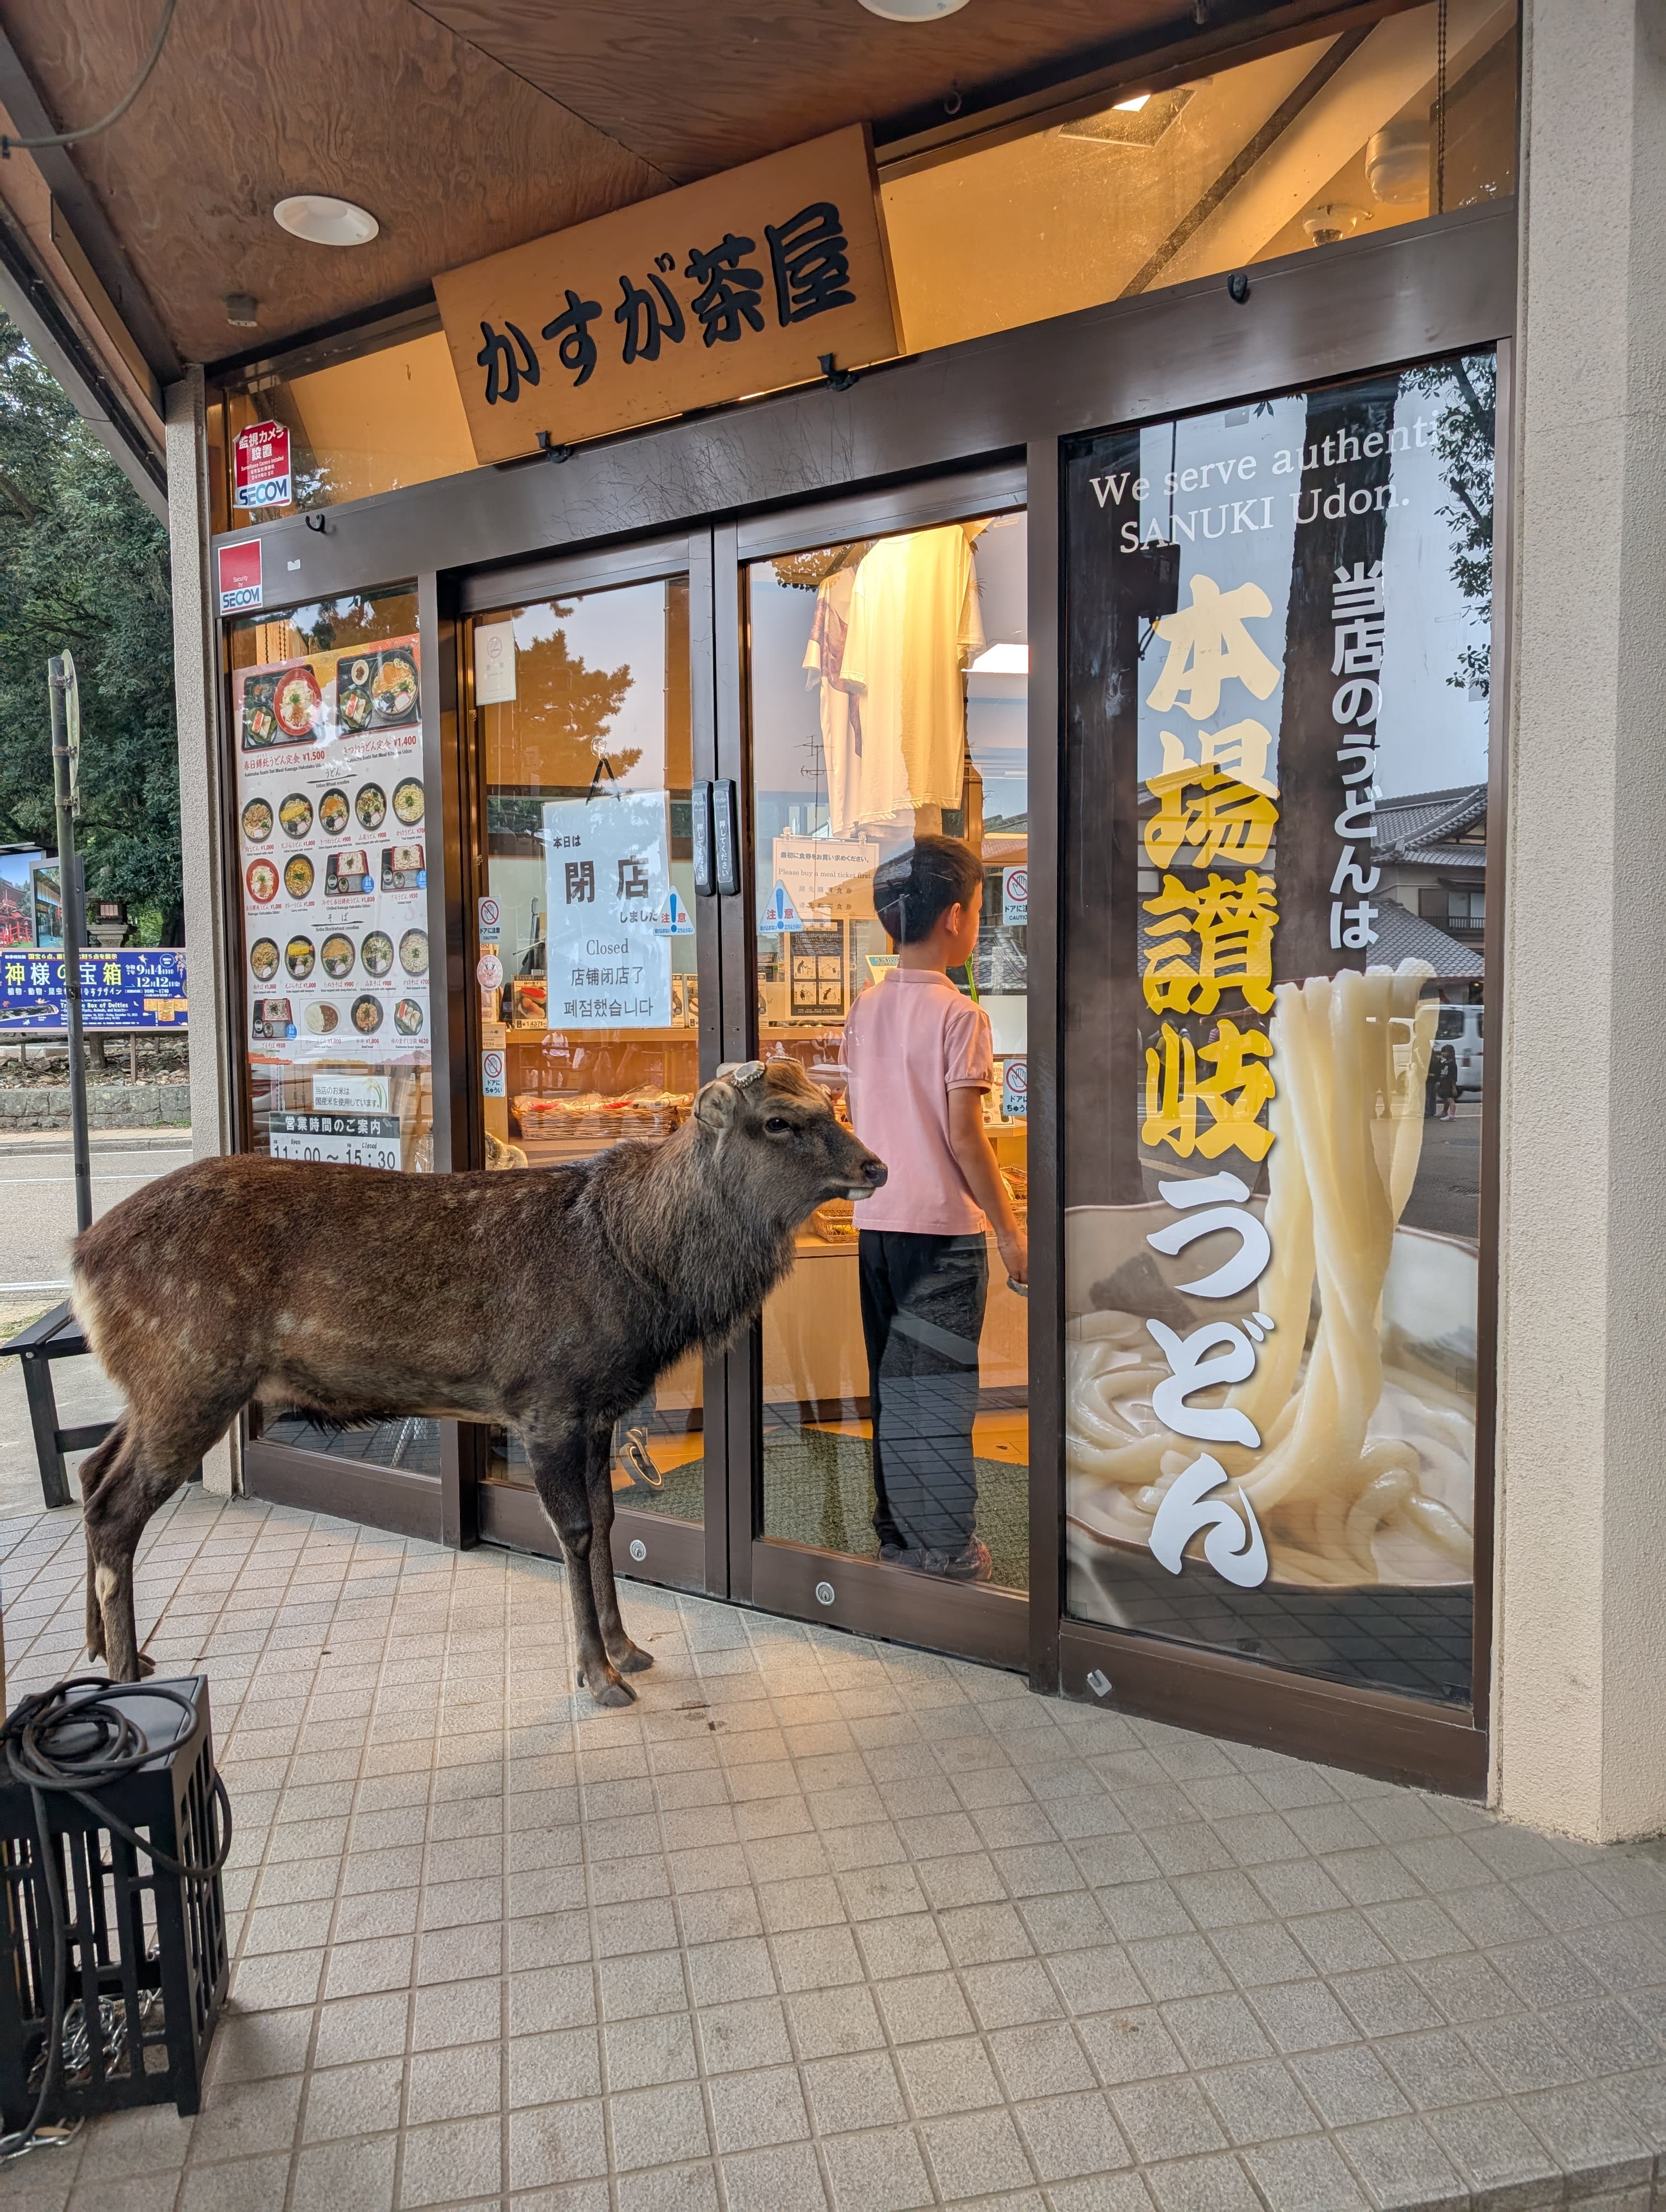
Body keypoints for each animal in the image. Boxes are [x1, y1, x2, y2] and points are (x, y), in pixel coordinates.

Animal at [70, 1059, 886, 1707]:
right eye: (780, 1120)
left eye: (832, 1100)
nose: (877, 1165)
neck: (638, 1265)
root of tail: (83, 1255)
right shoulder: (547, 1399)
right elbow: (574, 1530)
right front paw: (596, 1676)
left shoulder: (598, 1409)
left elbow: (608, 1522)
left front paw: (629, 1650)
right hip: (191, 1374)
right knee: (114, 1506)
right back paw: (124, 1675)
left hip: (153, 1386)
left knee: (90, 1469)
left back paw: (108, 1647)